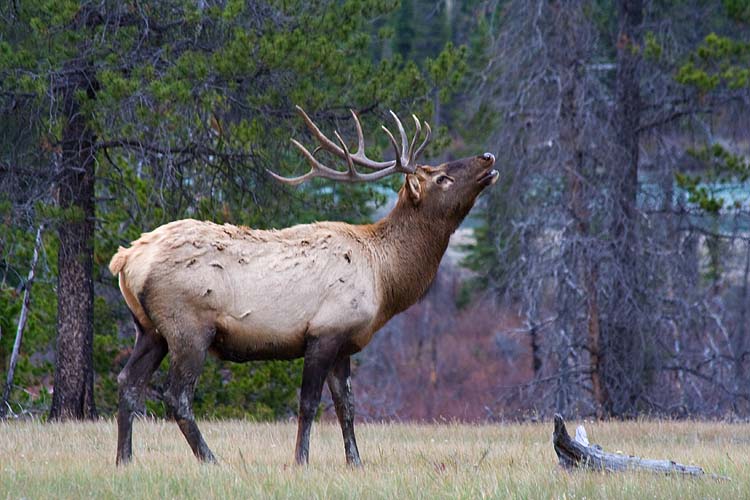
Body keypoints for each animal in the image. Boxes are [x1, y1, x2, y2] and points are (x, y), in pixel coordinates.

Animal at [109, 105, 498, 466]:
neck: (385, 279)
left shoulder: (345, 343)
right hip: (188, 328)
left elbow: (346, 406)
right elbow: (309, 403)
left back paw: (124, 459)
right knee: (176, 396)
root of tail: (126, 260)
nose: (488, 156)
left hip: (150, 330)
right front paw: (300, 459)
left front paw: (355, 461)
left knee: (128, 382)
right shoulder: (323, 332)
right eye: (442, 178)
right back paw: (210, 459)